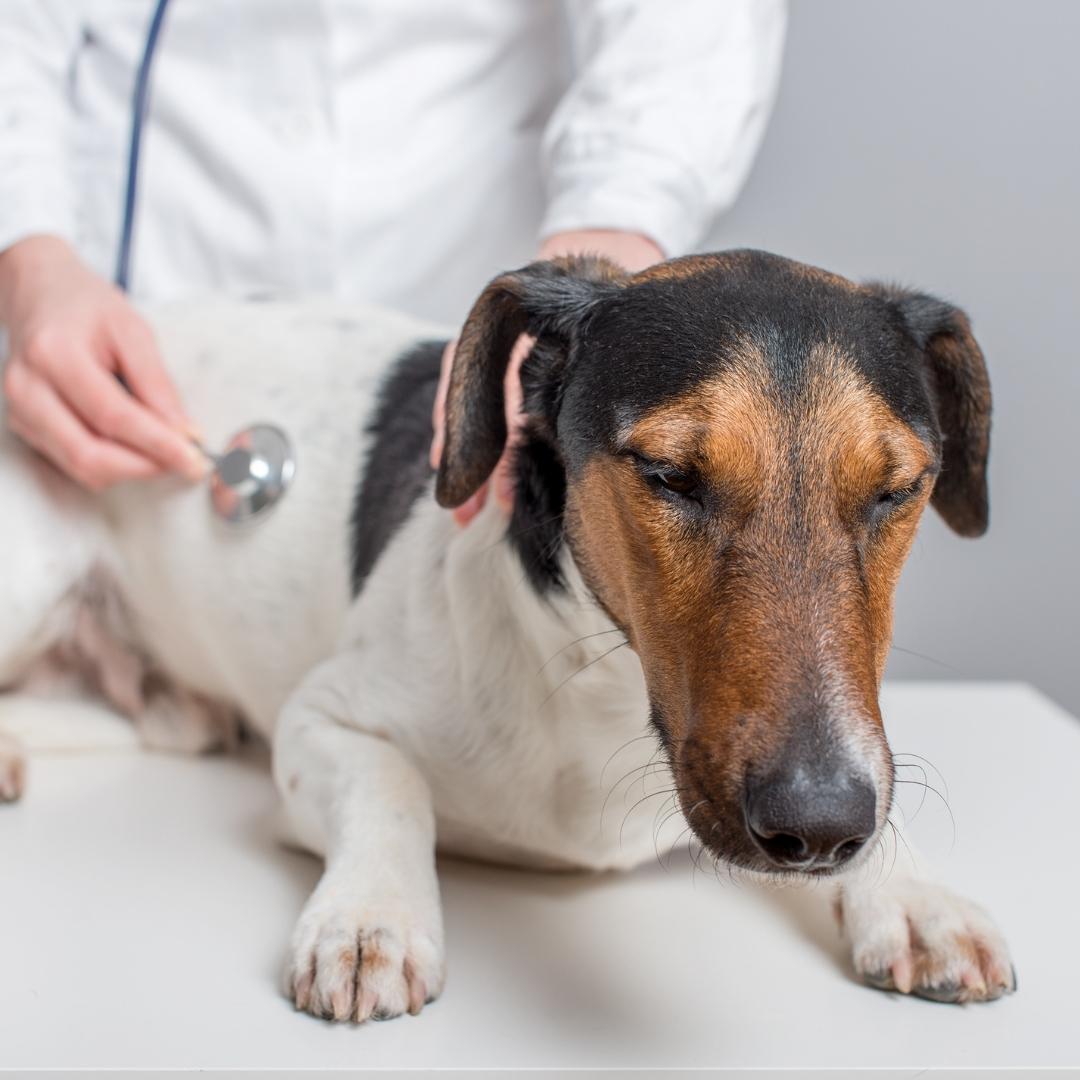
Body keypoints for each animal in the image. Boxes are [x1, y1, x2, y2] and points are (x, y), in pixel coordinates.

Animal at [0, 250, 1010, 1019]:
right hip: (30, 571)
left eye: (898, 489)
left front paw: (912, 896)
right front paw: (370, 918)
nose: (822, 823)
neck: (602, 689)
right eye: (669, 475)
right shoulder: (319, 720)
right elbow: (392, 788)